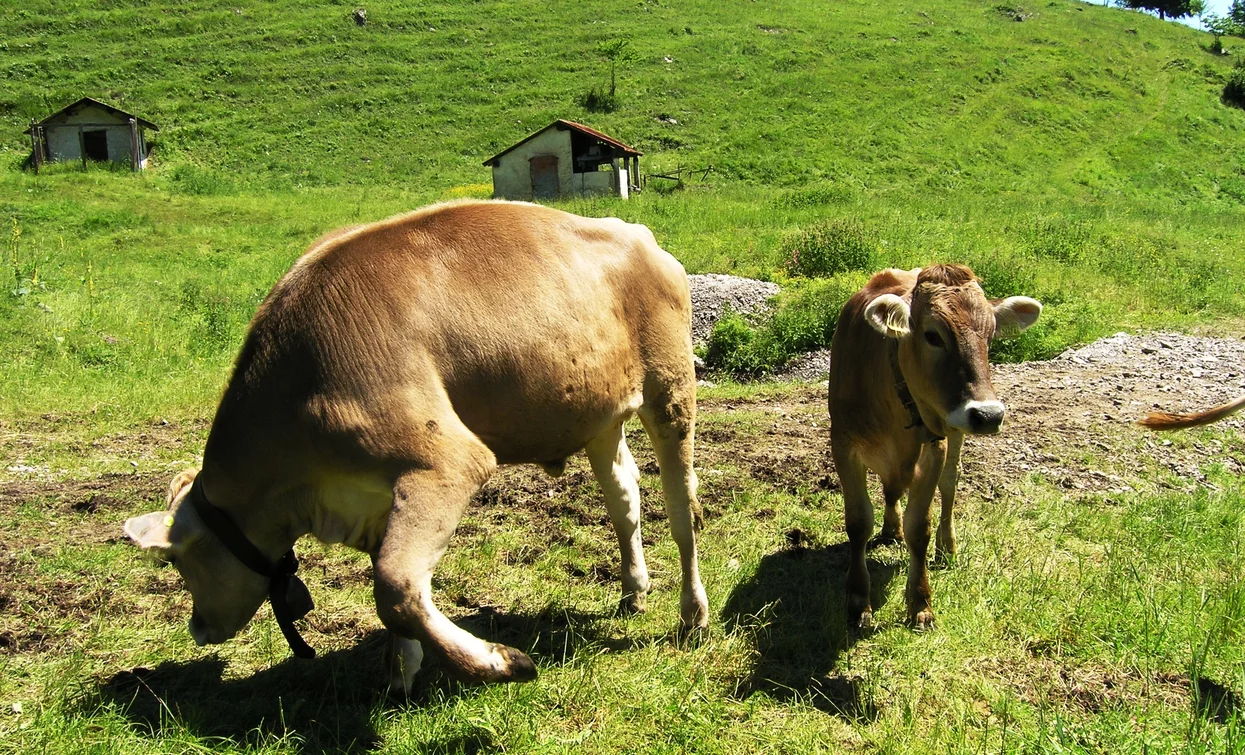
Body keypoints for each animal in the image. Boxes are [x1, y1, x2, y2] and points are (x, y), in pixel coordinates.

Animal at [128, 199, 712, 692]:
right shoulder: (377, 495)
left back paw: (693, 615)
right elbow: (393, 583)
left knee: (682, 508)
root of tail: (636, 232)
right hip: (598, 412)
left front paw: (502, 663)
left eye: (177, 561)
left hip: (670, 386)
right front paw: (400, 675)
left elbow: (393, 586)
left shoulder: (447, 462)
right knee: (624, 496)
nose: (197, 628)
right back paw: (634, 589)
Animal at [831, 266, 1045, 632]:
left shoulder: (936, 447)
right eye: (933, 336)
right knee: (891, 490)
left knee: (949, 483)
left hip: (954, 431)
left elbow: (920, 528)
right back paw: (891, 527)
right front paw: (859, 602)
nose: (989, 414)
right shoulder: (843, 444)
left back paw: (947, 546)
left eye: (990, 336)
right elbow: (858, 522)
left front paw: (920, 602)